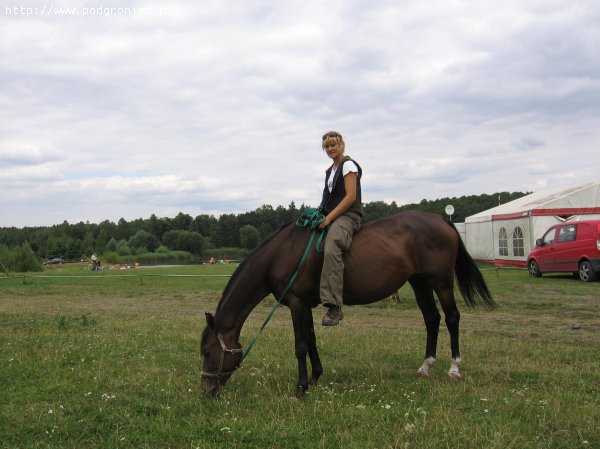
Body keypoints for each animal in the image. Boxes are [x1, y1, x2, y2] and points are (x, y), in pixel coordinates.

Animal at [200, 210, 495, 397]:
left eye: (206, 353)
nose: (207, 391)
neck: (281, 254)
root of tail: (440, 219)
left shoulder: (297, 303)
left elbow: (300, 345)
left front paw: (300, 388)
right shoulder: (306, 305)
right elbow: (311, 340)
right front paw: (315, 378)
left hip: (441, 281)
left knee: (452, 317)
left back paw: (454, 368)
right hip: (419, 281)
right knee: (432, 318)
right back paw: (426, 366)